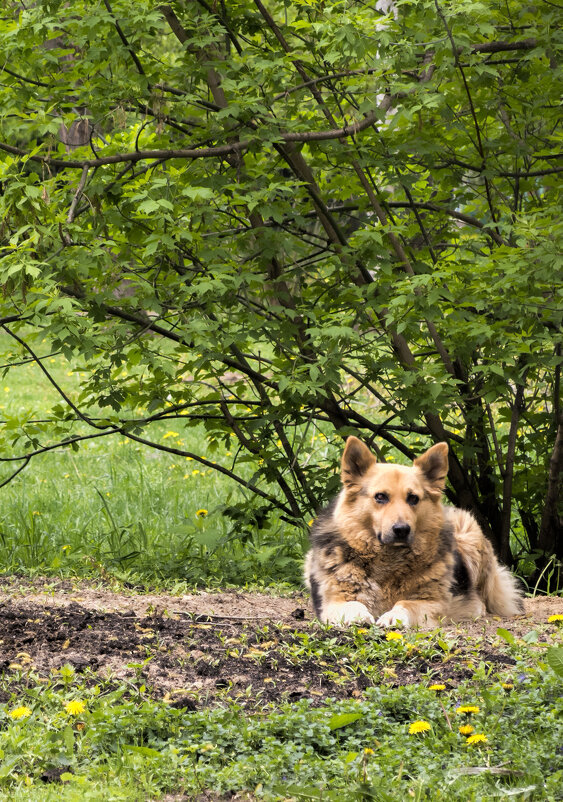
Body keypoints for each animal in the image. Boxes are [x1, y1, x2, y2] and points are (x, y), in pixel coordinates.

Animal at [304, 434, 524, 628]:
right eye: (380, 496)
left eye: (413, 498)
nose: (401, 529)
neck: (388, 559)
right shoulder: (333, 601)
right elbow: (352, 603)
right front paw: (357, 615)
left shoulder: (432, 602)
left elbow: (406, 603)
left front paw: (394, 616)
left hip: (469, 533)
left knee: (482, 599)